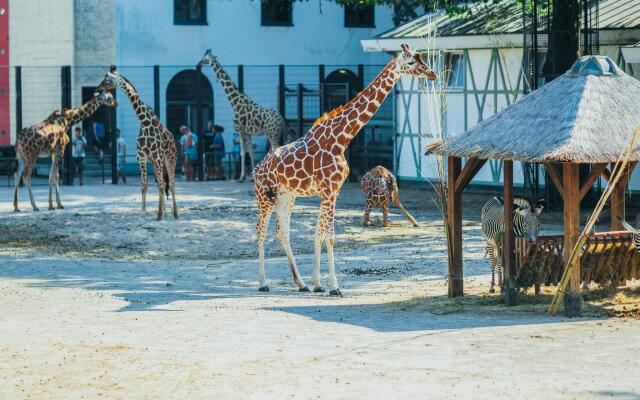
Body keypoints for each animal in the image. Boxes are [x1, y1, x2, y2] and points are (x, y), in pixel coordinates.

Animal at [96, 67, 179, 220]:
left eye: (107, 80)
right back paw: (165, 212)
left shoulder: (157, 155)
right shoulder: (141, 156)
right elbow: (144, 185)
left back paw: (175, 213)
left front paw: (158, 214)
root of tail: (172, 138)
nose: (97, 89)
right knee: (162, 182)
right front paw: (144, 211)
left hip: (170, 157)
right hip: (154, 161)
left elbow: (161, 184)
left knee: (170, 183)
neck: (144, 122)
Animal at [199, 50, 286, 183]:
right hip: (276, 134)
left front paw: (241, 177)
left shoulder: (239, 130)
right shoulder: (248, 133)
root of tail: (281, 120)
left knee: (276, 151)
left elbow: (242, 153)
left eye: (205, 57)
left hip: (272, 134)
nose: (199, 63)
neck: (234, 102)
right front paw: (252, 176)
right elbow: (250, 152)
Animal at [251, 43, 436, 296]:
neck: (341, 139)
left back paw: (301, 284)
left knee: (282, 230)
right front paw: (334, 287)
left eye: (421, 58)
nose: (432, 74)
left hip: (286, 195)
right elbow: (329, 236)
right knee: (260, 229)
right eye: (410, 62)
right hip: (264, 195)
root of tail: (257, 167)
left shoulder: (332, 190)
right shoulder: (329, 189)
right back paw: (263, 283)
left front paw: (318, 283)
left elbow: (319, 233)